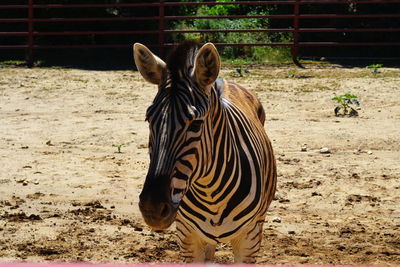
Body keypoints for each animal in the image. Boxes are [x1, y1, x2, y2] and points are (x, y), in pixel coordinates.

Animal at [133, 40, 276, 262]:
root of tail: (223, 80)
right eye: (149, 119)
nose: (152, 208)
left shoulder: (250, 238)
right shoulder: (187, 237)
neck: (210, 193)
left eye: (196, 124)